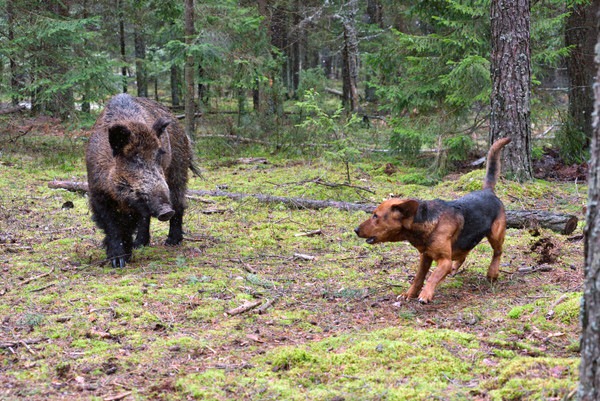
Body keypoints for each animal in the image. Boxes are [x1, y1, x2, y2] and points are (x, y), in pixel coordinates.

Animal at [356, 138, 510, 304]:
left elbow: (432, 276)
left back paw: (492, 273)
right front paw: (409, 294)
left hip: (495, 235)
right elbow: (418, 278)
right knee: (464, 254)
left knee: (497, 252)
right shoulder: (425, 257)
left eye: (375, 216)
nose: (355, 230)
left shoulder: (444, 261)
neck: (427, 222)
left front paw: (425, 294)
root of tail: (488, 191)